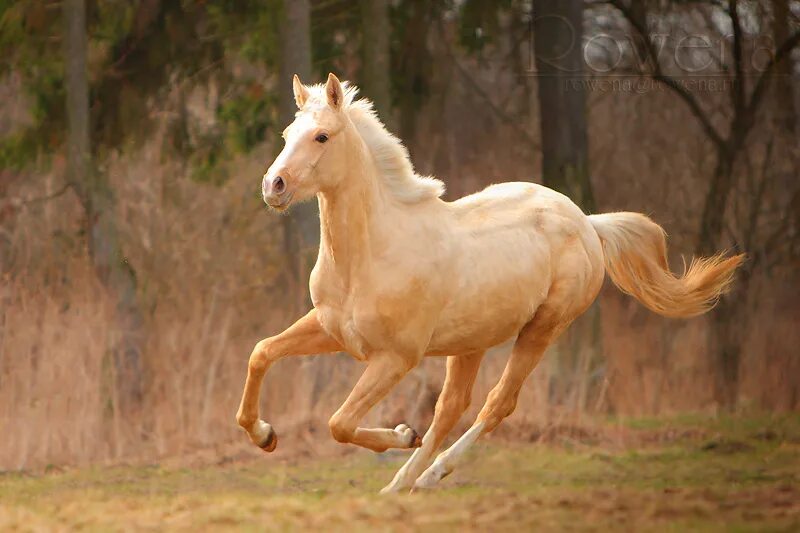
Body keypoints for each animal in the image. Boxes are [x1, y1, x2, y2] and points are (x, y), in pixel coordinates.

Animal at [236, 72, 744, 492]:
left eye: (322, 135)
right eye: (287, 135)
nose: (273, 186)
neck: (372, 254)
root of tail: (587, 223)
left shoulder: (396, 357)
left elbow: (339, 423)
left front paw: (400, 432)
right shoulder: (329, 328)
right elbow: (261, 352)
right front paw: (265, 436)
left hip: (542, 329)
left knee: (497, 402)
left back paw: (429, 474)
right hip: (470, 343)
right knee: (450, 408)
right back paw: (404, 484)